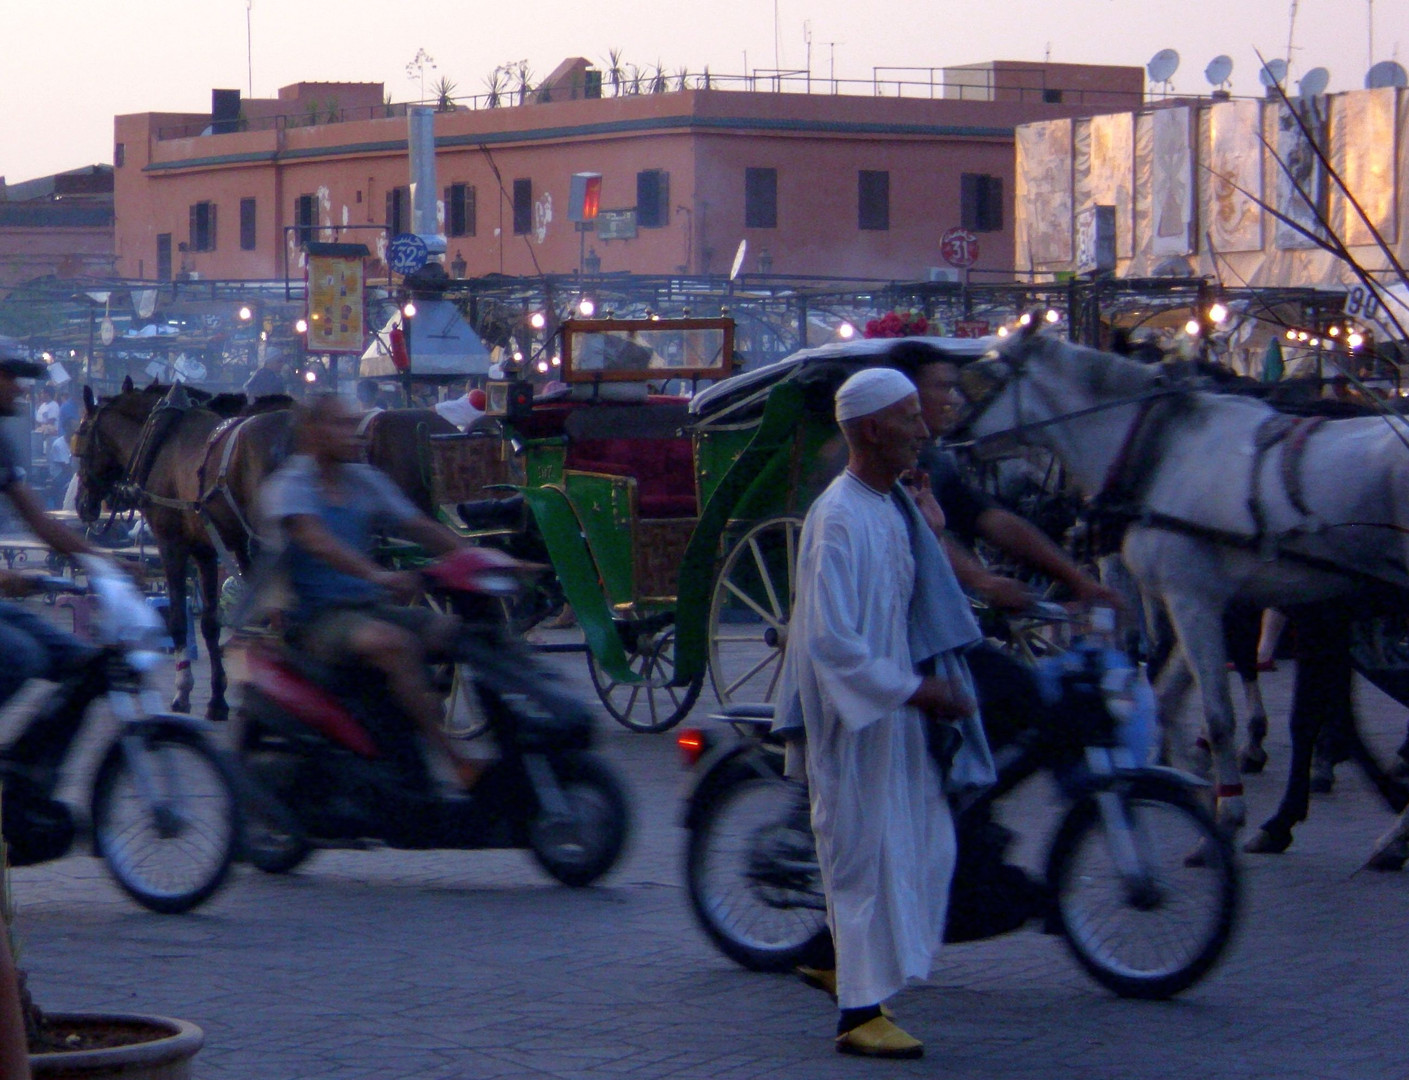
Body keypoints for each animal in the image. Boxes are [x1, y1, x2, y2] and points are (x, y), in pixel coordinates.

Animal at [963, 325, 1409, 850]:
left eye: (983, 374)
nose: (947, 437)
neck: (1161, 448)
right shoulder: (1210, 602)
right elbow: (1172, 691)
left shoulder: (1194, 599)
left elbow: (1219, 712)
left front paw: (1229, 809)